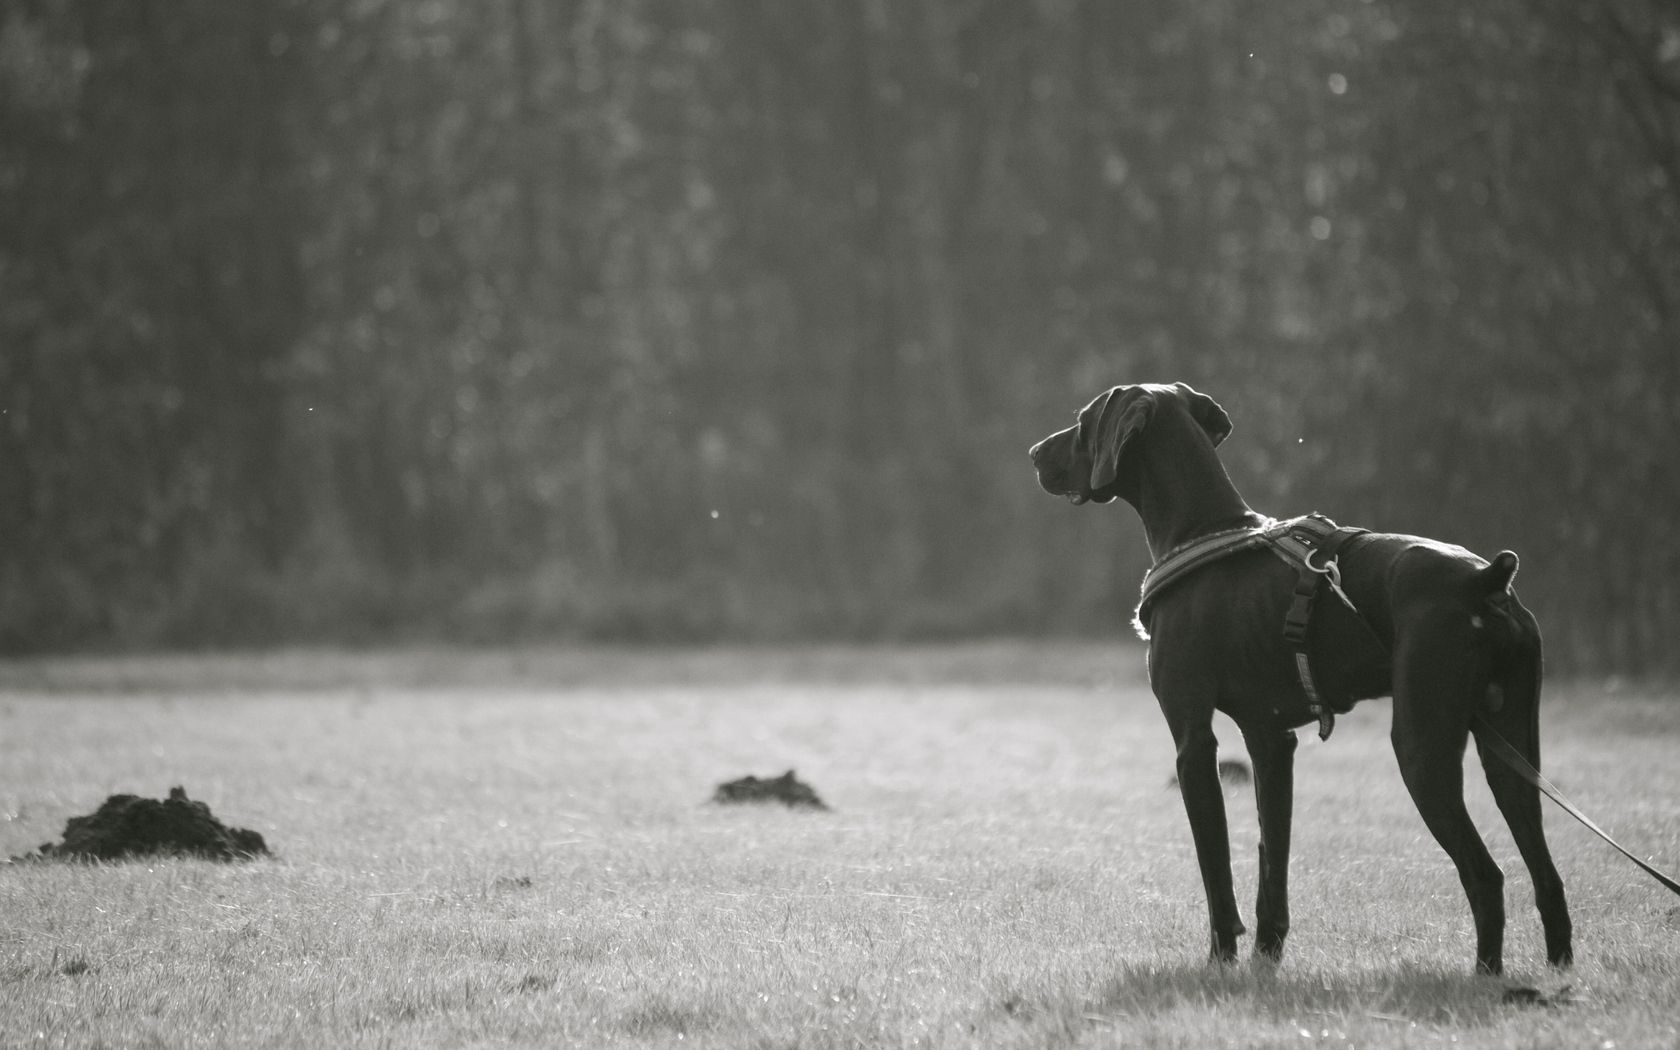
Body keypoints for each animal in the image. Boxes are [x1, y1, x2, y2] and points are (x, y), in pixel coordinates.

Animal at [1028, 378, 1565, 974]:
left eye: (1082, 420)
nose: (1034, 454)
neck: (1205, 528)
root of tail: (1485, 581)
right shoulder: (1271, 741)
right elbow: (1272, 859)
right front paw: (1266, 957)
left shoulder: (1193, 743)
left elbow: (1217, 869)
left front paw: (1221, 960)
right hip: (1511, 750)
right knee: (1547, 877)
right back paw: (1558, 971)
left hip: (1421, 747)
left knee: (1486, 877)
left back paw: (1487, 975)